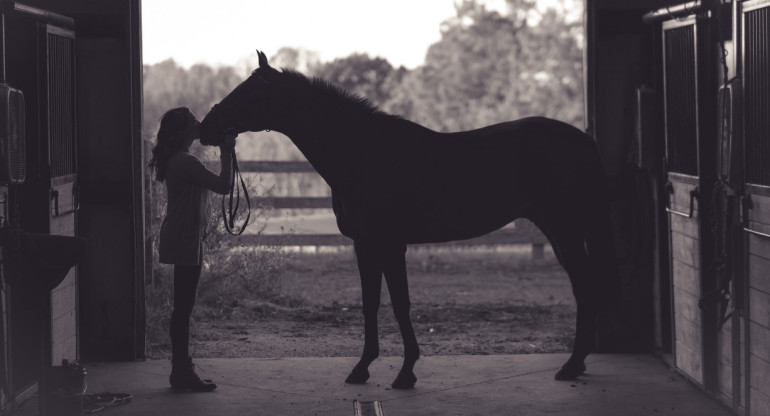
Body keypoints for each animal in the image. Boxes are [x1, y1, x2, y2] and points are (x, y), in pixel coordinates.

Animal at [200, 50, 616, 388]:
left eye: (249, 92)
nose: (206, 128)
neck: (362, 154)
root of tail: (584, 140)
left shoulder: (389, 244)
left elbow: (400, 303)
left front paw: (405, 372)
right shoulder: (364, 244)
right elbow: (370, 303)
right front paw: (362, 368)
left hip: (564, 228)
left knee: (585, 285)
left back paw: (572, 365)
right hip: (560, 231)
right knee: (584, 285)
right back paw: (576, 365)